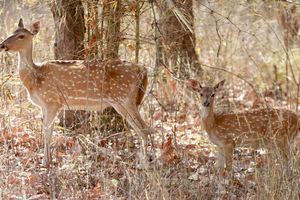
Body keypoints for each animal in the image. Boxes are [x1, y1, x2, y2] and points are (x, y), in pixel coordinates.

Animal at [0, 18, 150, 166]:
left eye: (21, 36)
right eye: (13, 31)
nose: (2, 45)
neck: (34, 79)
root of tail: (142, 69)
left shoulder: (52, 101)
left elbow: (47, 131)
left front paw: (45, 162)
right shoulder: (45, 105)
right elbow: (49, 130)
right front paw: (47, 159)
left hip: (124, 99)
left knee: (144, 129)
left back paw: (144, 164)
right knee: (145, 128)